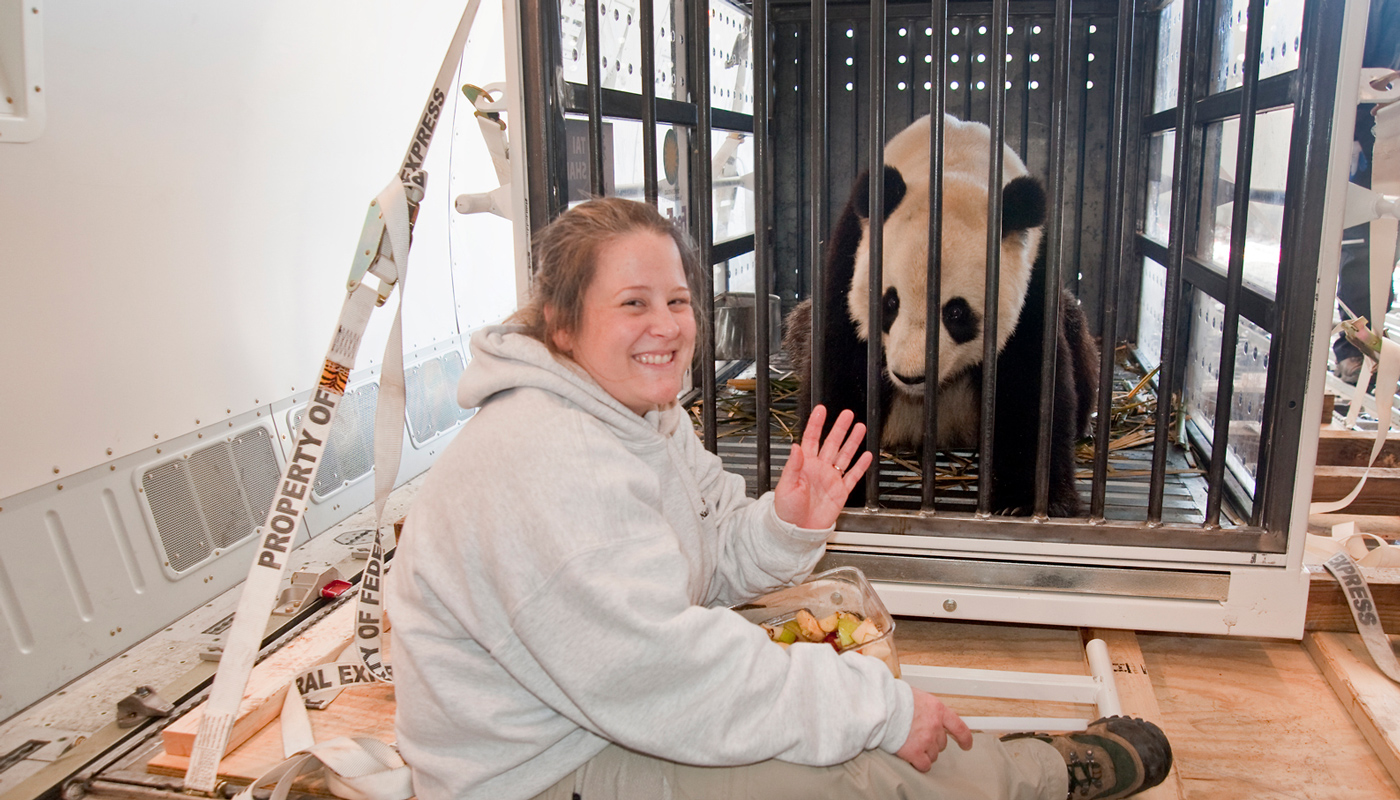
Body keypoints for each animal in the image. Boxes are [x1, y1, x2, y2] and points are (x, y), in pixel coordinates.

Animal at [784, 112, 1097, 515]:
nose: (910, 376)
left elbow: (1032, 380)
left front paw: (1027, 502)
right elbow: (841, 362)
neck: (951, 164)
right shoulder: (853, 246)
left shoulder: (1035, 274)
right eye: (890, 303)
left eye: (957, 312)